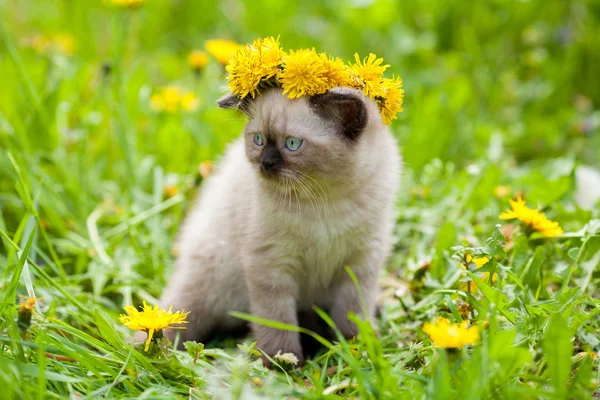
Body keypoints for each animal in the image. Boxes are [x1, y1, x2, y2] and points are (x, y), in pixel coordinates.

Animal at [159, 87, 404, 366]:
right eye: (258, 140)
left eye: (292, 144)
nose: (265, 164)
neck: (327, 202)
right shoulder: (272, 264)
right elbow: (278, 321)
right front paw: (283, 362)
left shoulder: (362, 262)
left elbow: (352, 312)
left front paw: (356, 347)